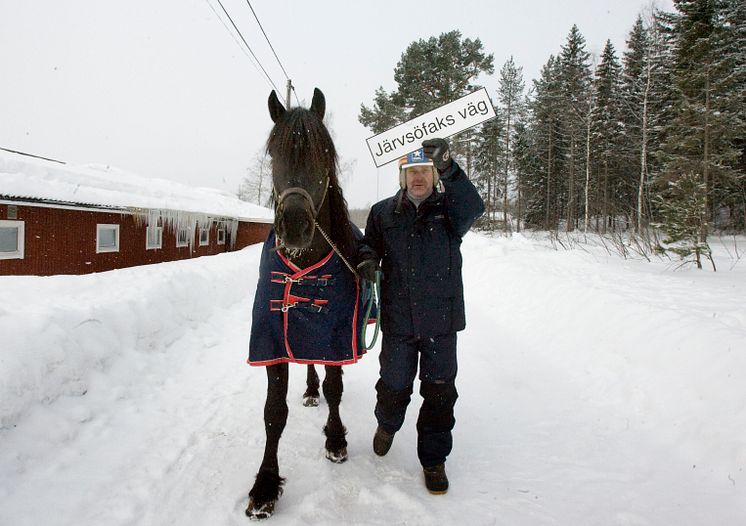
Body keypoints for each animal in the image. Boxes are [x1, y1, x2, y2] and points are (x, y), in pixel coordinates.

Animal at [246, 88, 358, 520]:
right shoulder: (274, 340)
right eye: (273, 152)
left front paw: (336, 440)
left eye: (322, 153)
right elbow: (273, 413)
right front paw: (264, 486)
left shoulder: (337, 337)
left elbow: (335, 387)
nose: (294, 224)